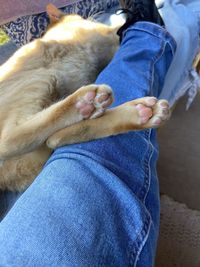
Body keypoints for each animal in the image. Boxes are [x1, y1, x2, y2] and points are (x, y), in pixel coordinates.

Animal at [0, 4, 170, 193]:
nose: (87, 17)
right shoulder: (107, 35)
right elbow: (116, 30)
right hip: (42, 77)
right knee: (10, 139)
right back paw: (86, 102)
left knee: (54, 139)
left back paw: (139, 112)